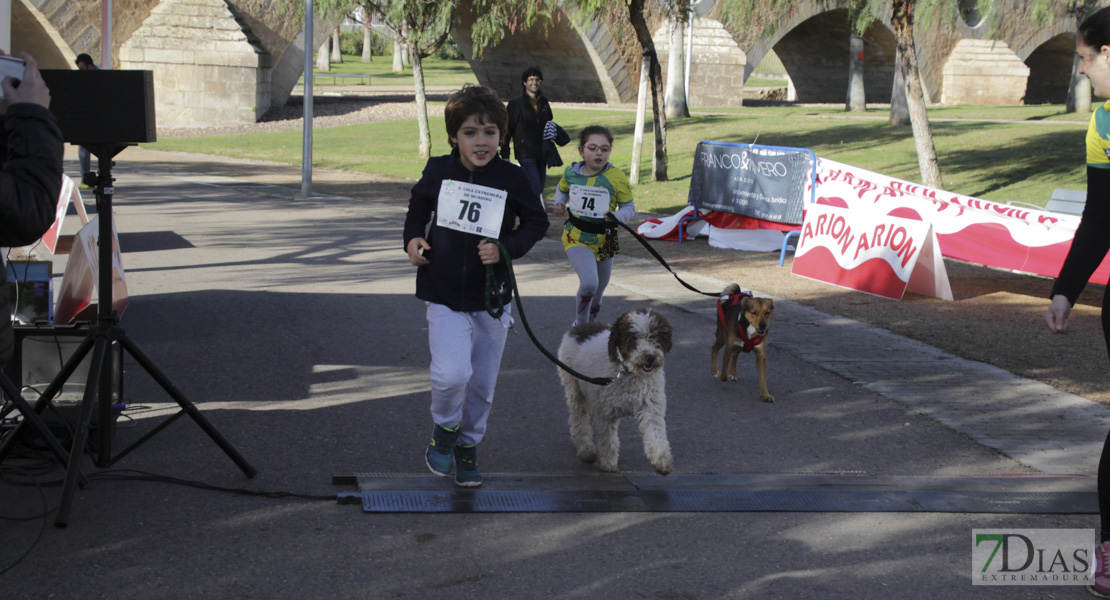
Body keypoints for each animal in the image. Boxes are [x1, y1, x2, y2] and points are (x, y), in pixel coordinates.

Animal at [555, 306, 674, 474]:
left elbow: (655, 434)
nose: (650, 357)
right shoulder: (606, 413)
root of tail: (580, 327)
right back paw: (586, 450)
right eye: (633, 337)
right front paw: (608, 464)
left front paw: (662, 461)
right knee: (579, 420)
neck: (627, 372)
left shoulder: (650, 407)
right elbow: (608, 440)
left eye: (657, 337)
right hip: (575, 388)